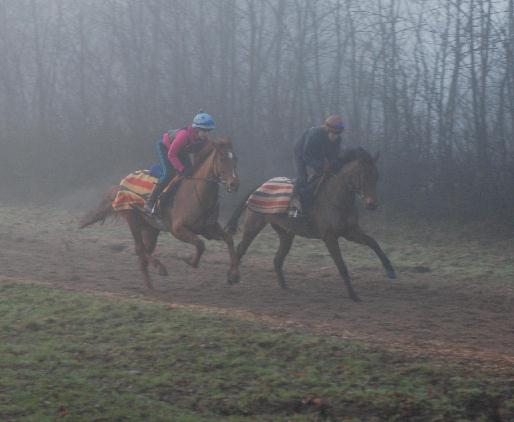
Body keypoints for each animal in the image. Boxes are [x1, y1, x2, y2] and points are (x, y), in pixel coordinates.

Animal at [80, 138, 240, 290]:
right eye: (222, 158)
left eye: (235, 159)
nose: (234, 184)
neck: (196, 194)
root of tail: (121, 183)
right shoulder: (177, 229)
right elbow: (200, 244)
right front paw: (190, 262)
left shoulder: (208, 228)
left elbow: (228, 239)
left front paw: (233, 275)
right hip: (132, 219)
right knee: (140, 248)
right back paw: (160, 268)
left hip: (150, 228)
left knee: (143, 253)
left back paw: (150, 285)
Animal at [225, 147, 396, 302]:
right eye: (363, 175)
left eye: (376, 175)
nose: (372, 204)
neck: (337, 198)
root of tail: (261, 185)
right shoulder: (329, 236)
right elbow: (341, 265)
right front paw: (353, 295)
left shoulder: (350, 231)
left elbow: (373, 243)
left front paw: (390, 270)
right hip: (253, 225)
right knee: (240, 249)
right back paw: (231, 278)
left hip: (286, 233)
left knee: (278, 259)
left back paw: (284, 286)